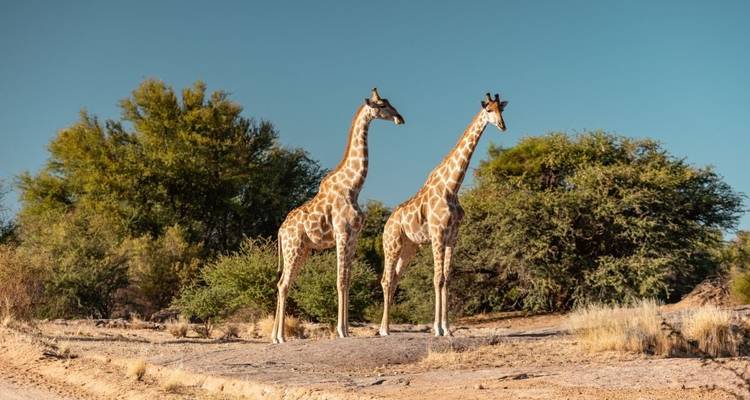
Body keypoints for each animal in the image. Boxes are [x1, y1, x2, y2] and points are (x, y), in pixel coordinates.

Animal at [272, 88, 405, 344]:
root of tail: (280, 231)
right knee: (283, 284)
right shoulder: (342, 234)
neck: (353, 187)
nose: (400, 118)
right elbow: (340, 280)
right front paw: (341, 331)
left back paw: (275, 336)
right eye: (382, 105)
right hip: (293, 248)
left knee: (283, 283)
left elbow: (348, 280)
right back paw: (281, 337)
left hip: (303, 250)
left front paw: (346, 329)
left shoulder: (353, 237)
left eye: (390, 102)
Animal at [379, 93, 508, 337]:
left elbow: (447, 279)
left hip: (409, 247)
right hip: (392, 245)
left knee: (395, 279)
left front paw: (447, 328)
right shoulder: (438, 234)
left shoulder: (452, 236)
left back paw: (387, 326)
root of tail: (387, 224)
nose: (503, 126)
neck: (452, 186)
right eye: (488, 110)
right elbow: (437, 278)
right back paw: (383, 330)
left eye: (502, 110)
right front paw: (437, 328)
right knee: (386, 279)